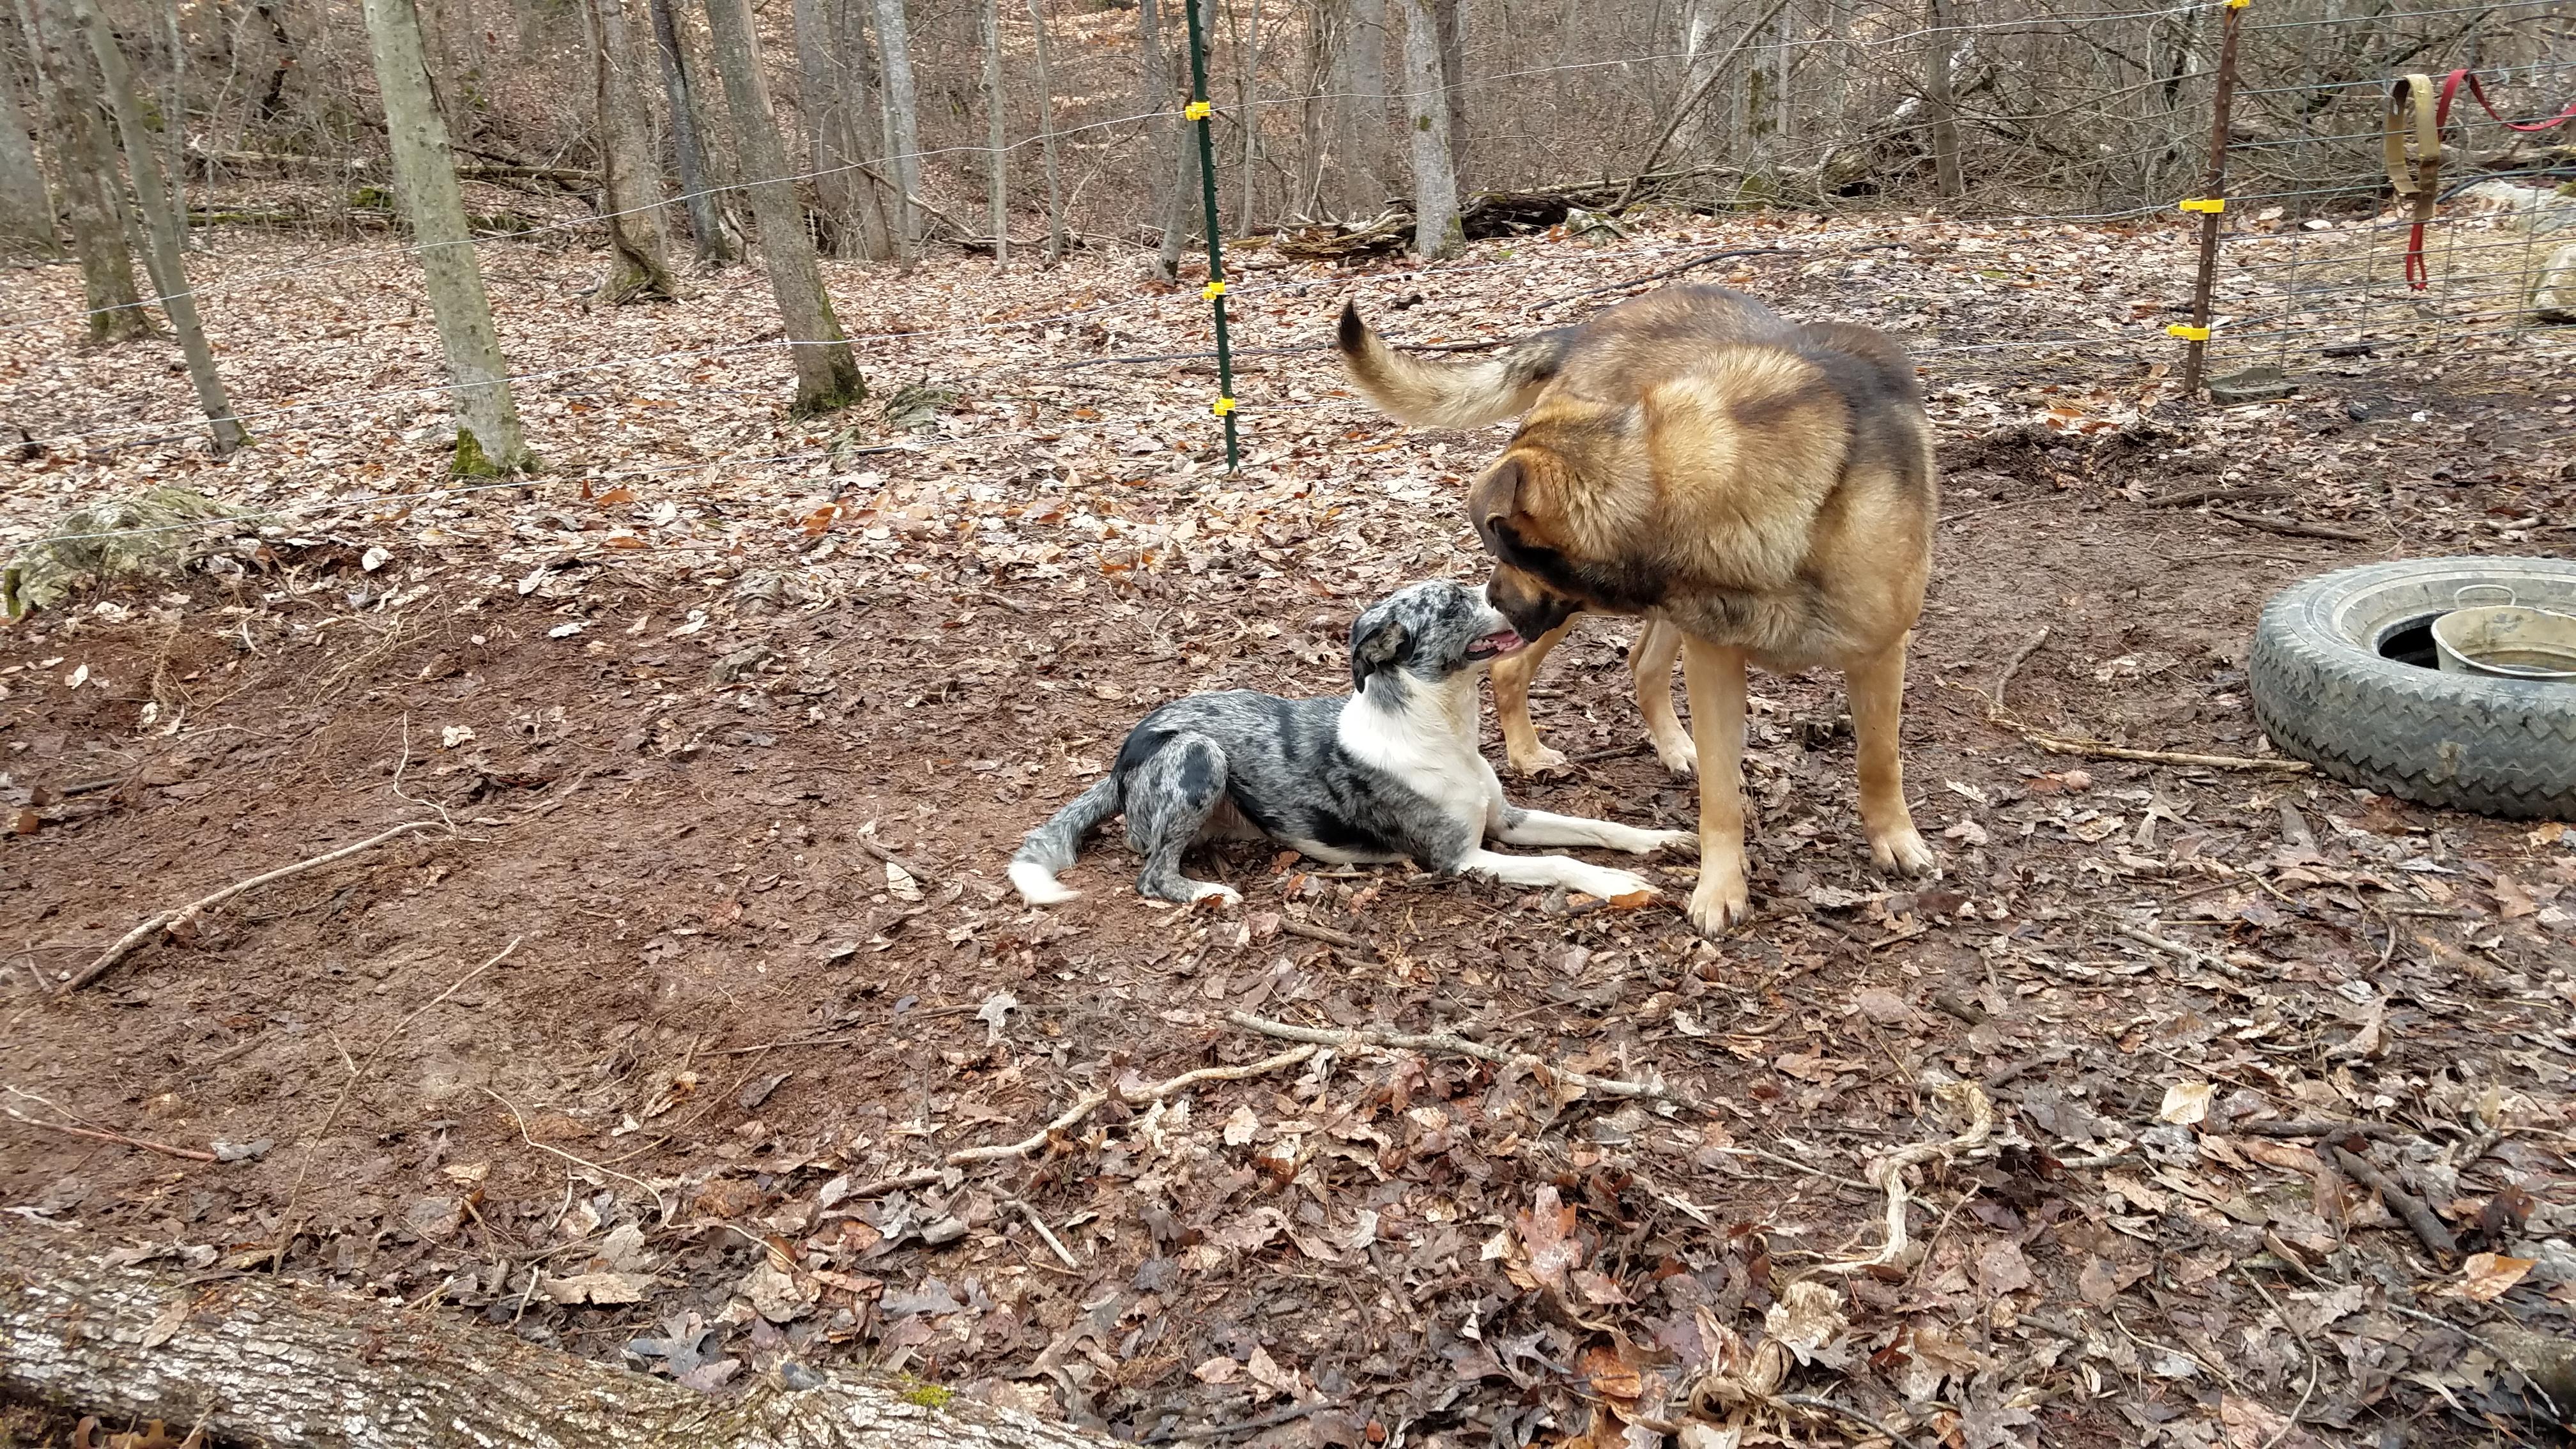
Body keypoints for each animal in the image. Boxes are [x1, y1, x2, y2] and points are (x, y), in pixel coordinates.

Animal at [1004, 574, 1689, 902]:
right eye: (1452, 603)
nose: (1517, 596)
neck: (1440, 729)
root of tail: (1124, 754)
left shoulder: (1506, 820)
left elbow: (1596, 828)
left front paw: (1661, 841)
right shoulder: (1460, 859)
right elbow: (1562, 862)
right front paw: (1619, 886)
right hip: (1198, 752)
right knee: (1151, 873)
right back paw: (1208, 894)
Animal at [1349, 287, 1937, 928]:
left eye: (1501, 549)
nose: (1493, 599)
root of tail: (1589, 328)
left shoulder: (1881, 650)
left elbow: (1879, 756)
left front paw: (1895, 838)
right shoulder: (1715, 657)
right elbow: (1721, 797)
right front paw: (1720, 886)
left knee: (1641, 664)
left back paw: (1673, 745)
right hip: (1584, 615)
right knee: (1516, 670)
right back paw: (1529, 753)